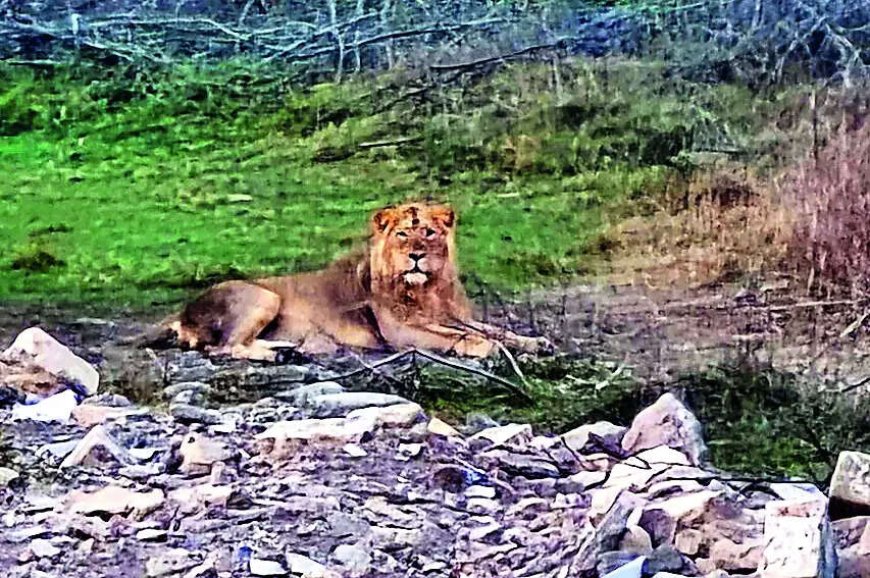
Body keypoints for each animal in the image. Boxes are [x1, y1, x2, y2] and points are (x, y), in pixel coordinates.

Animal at [169, 202, 551, 360]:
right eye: (402, 234)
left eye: (427, 233)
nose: (416, 255)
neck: (427, 289)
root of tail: (183, 312)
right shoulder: (400, 331)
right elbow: (464, 338)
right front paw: (491, 349)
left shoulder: (452, 316)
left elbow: (493, 329)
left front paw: (534, 343)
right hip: (264, 297)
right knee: (223, 347)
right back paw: (276, 356)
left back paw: (287, 350)